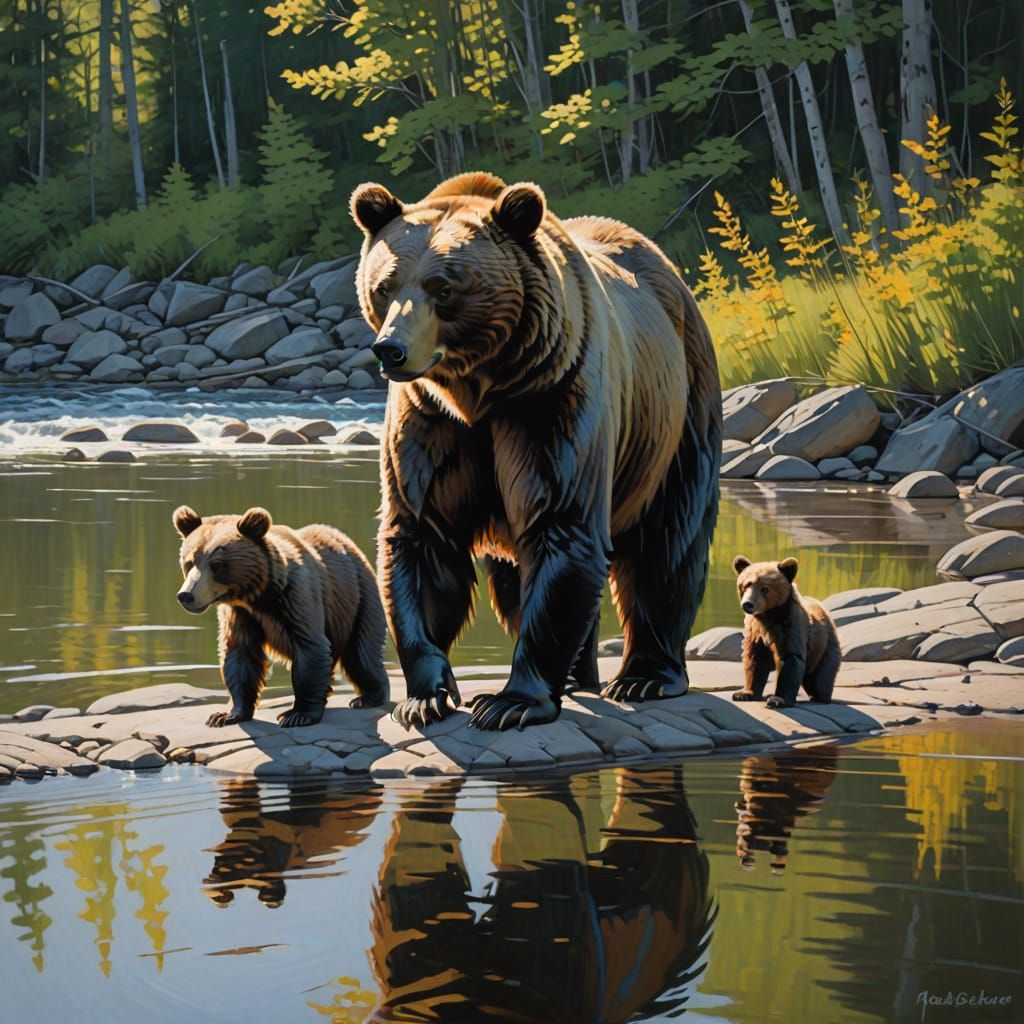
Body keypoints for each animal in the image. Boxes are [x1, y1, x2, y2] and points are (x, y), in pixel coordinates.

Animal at [172, 505, 389, 727]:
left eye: (216, 564)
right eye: (189, 562)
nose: (186, 595)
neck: (259, 594)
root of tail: (348, 542)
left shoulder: (296, 595)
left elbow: (310, 648)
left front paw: (297, 715)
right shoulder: (240, 614)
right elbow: (240, 655)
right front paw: (225, 715)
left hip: (359, 597)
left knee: (360, 653)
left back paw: (368, 697)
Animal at [349, 171, 722, 731]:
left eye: (444, 287)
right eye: (385, 285)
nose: (391, 349)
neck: (480, 388)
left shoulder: (549, 400)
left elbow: (560, 523)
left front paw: (510, 702)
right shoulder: (430, 423)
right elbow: (423, 537)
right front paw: (425, 697)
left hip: (677, 408)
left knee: (668, 538)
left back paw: (646, 675)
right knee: (514, 577)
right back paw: (575, 675)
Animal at [731, 556, 841, 709]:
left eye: (765, 589)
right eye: (746, 585)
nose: (748, 604)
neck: (769, 615)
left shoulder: (790, 625)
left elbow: (790, 657)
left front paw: (777, 699)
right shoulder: (755, 631)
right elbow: (754, 659)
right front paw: (743, 693)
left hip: (824, 646)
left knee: (821, 676)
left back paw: (819, 696)